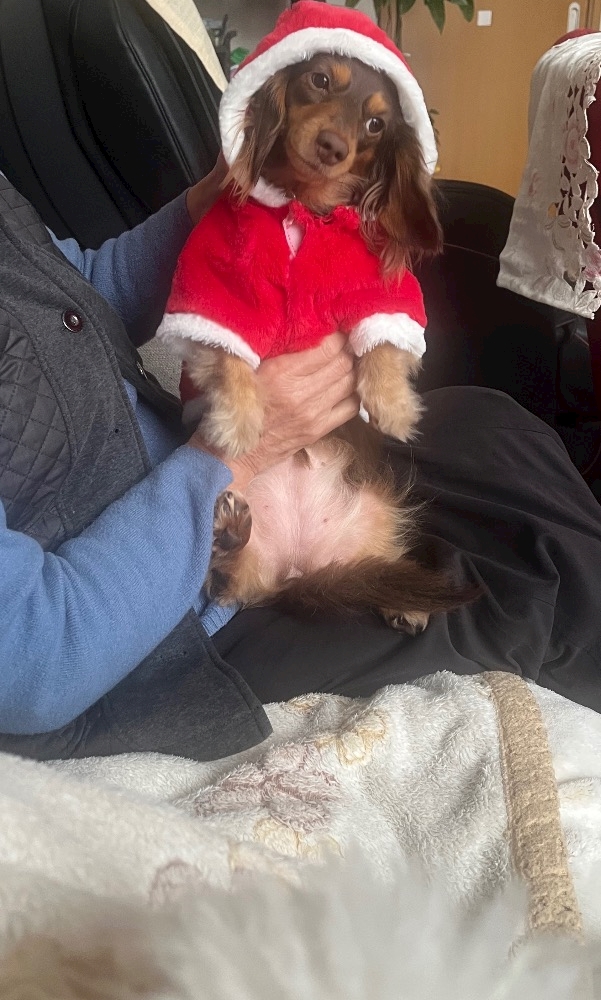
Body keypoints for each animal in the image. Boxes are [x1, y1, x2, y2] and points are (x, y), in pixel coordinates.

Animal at [170, 52, 478, 633]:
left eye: (376, 124)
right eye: (319, 81)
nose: (334, 146)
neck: (304, 207)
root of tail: (300, 567)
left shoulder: (381, 293)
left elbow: (383, 344)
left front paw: (392, 406)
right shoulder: (215, 289)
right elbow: (229, 355)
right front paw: (238, 422)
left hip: (380, 514)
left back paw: (404, 601)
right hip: (251, 553)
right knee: (230, 582)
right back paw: (229, 537)